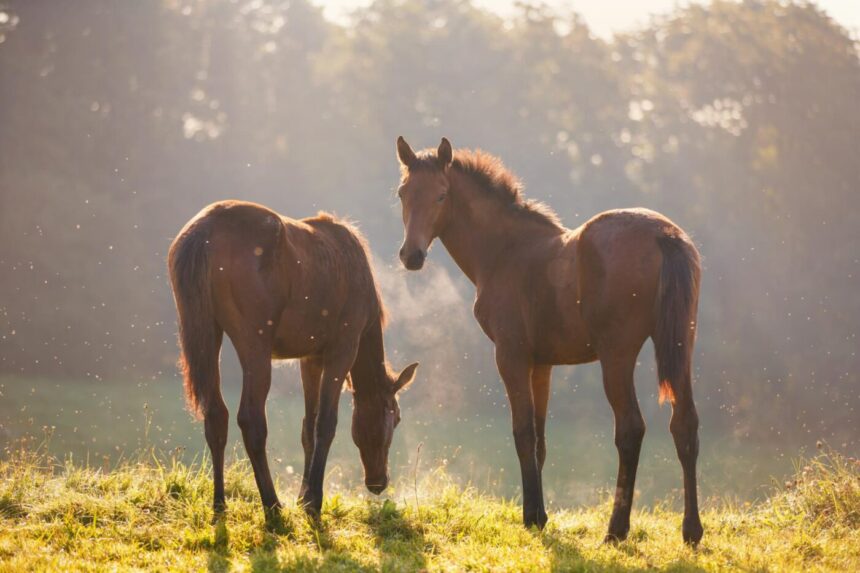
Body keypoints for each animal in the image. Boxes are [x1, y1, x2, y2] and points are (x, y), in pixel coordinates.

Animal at [167, 201, 416, 520]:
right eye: (396, 417)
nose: (378, 482)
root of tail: (203, 233)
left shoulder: (310, 357)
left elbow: (308, 427)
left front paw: (302, 495)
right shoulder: (343, 348)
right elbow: (326, 423)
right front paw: (313, 500)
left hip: (207, 333)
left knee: (215, 415)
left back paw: (220, 503)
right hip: (254, 342)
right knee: (251, 419)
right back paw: (272, 505)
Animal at [394, 136, 704, 544]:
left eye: (442, 195)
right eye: (402, 193)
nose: (411, 256)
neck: (505, 251)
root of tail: (663, 235)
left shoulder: (510, 355)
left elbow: (523, 432)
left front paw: (531, 517)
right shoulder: (541, 363)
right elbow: (540, 440)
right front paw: (541, 513)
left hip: (617, 355)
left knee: (631, 428)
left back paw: (616, 530)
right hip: (681, 345)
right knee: (684, 424)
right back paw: (692, 531)